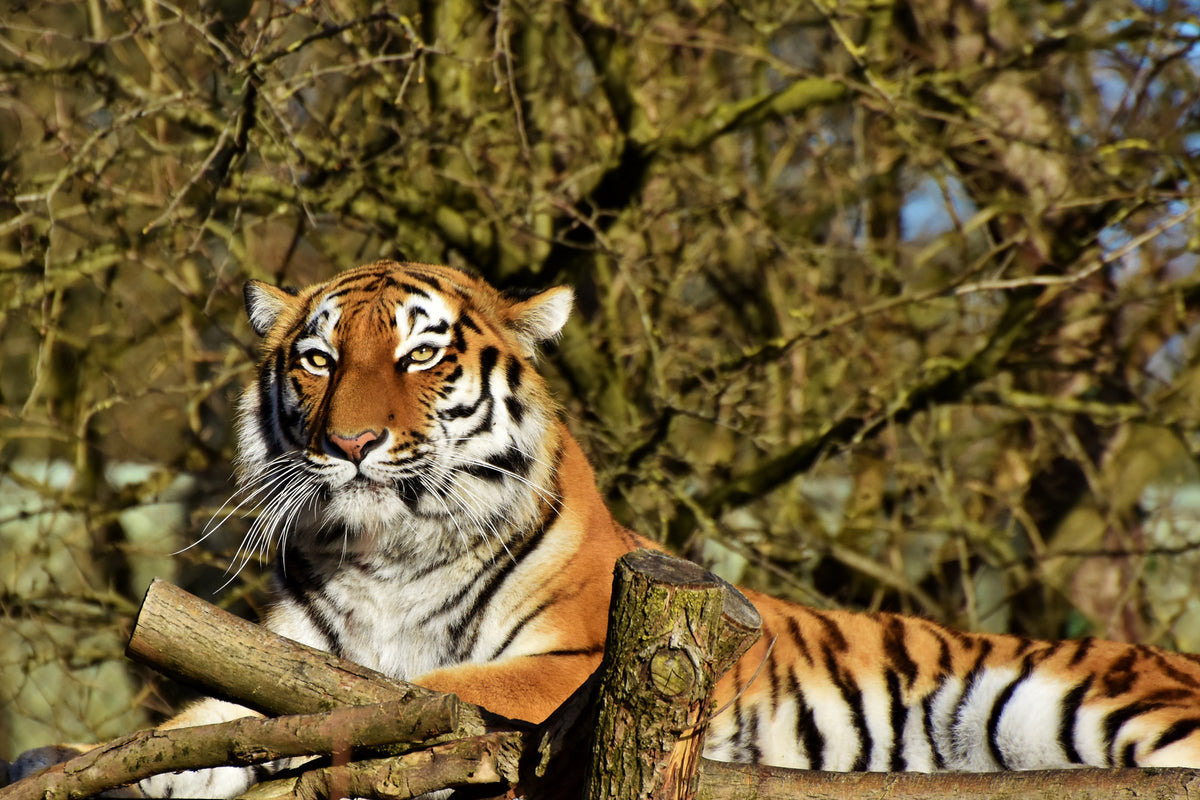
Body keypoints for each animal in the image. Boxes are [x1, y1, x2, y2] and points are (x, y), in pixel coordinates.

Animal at [10, 259, 1200, 796]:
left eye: (420, 355)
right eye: (317, 358)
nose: (347, 443)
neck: (383, 558)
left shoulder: (567, 663)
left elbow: (413, 694)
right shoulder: (271, 651)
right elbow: (191, 719)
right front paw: (80, 757)